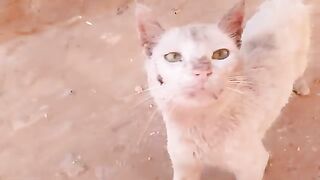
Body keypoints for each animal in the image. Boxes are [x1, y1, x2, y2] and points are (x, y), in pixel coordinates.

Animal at [134, 0, 310, 179]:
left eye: (221, 54)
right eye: (173, 57)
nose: (202, 71)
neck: (201, 126)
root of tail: (282, 2)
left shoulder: (253, 165)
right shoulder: (184, 166)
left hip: (301, 59)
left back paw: (301, 87)